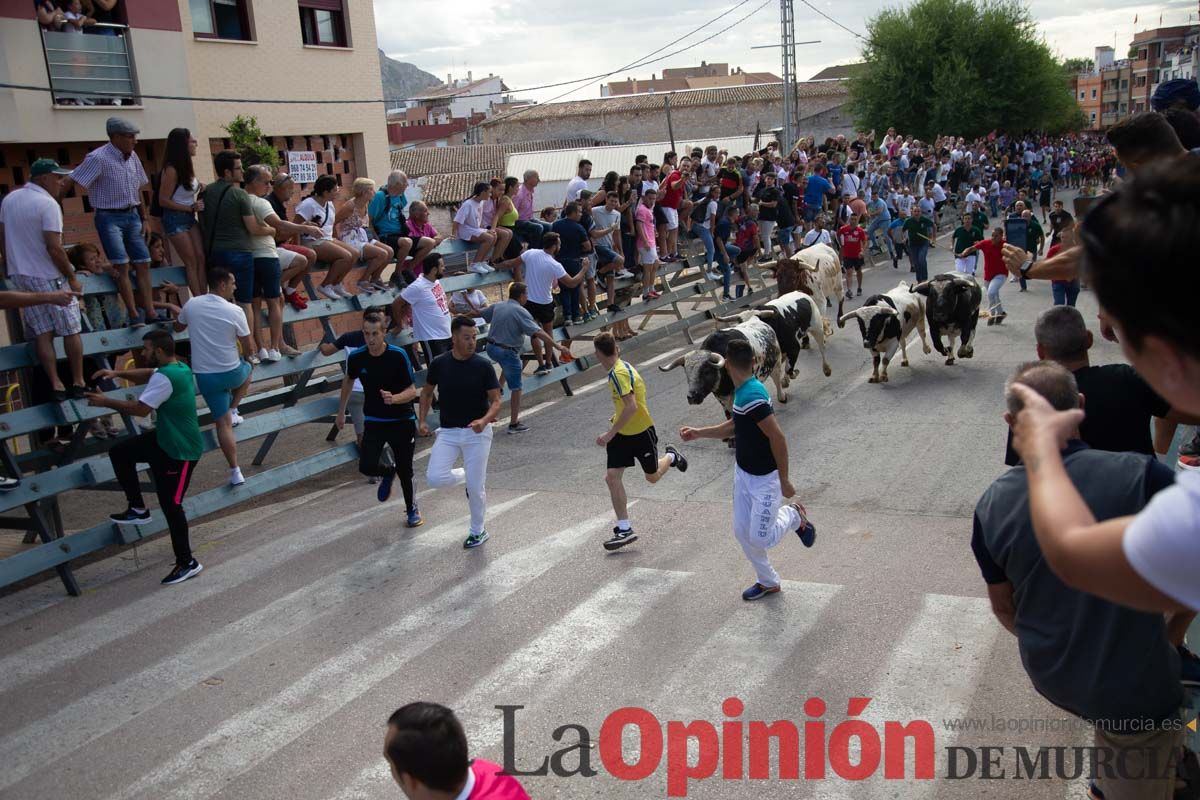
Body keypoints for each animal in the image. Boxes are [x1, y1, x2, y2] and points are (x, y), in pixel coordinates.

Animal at [657, 314, 787, 417]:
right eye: (686, 373)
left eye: (706, 371)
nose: (692, 397)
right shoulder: (722, 399)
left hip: (776, 363)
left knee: (777, 380)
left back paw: (782, 397)